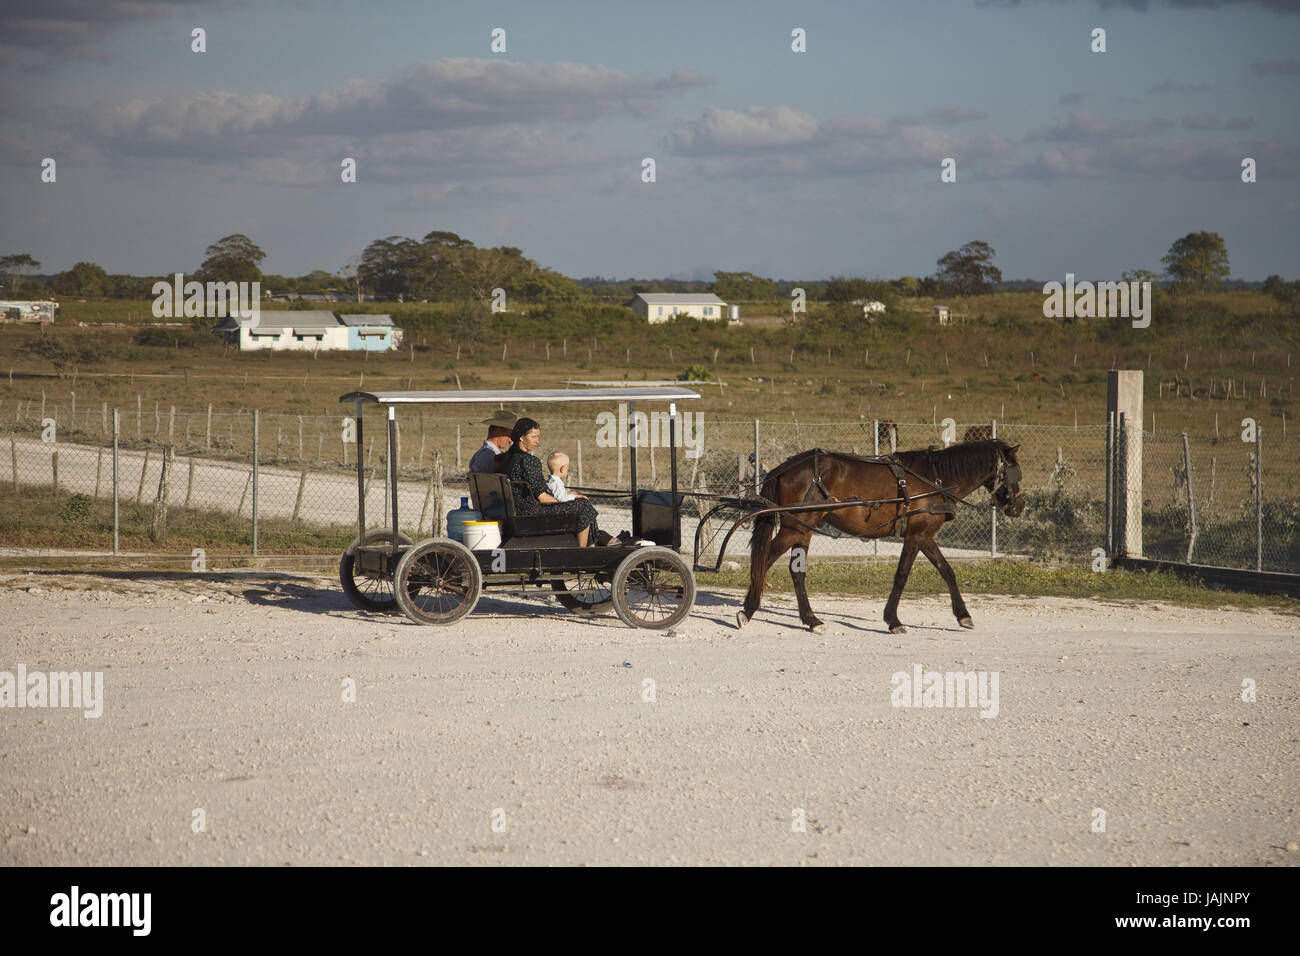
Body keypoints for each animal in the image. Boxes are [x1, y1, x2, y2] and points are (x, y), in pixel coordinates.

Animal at [738, 442, 1019, 634]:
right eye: (1016, 472)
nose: (1019, 507)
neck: (937, 478)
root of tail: (784, 467)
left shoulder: (925, 535)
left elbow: (947, 570)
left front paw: (962, 615)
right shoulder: (916, 536)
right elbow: (902, 575)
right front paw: (893, 620)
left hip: (803, 528)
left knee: (796, 573)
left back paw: (811, 619)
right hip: (794, 528)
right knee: (764, 561)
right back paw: (748, 609)